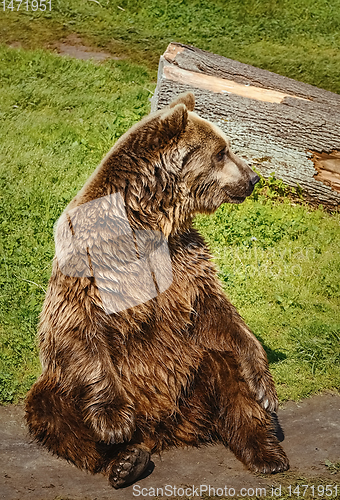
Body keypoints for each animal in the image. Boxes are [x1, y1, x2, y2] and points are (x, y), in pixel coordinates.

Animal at [25, 92, 288, 486]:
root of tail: (164, 429)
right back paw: (125, 459)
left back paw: (267, 451)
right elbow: (78, 324)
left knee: (230, 372)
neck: (150, 222)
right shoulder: (94, 263)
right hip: (62, 386)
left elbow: (219, 313)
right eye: (221, 152)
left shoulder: (186, 263)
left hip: (195, 370)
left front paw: (266, 388)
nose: (253, 177)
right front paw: (114, 423)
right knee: (52, 408)